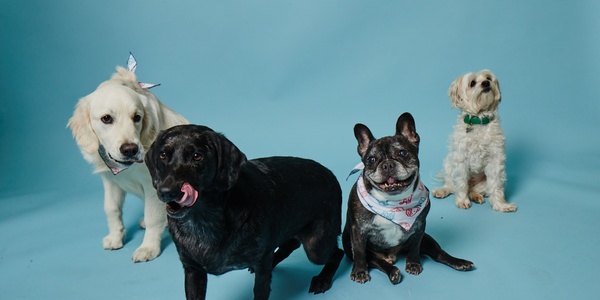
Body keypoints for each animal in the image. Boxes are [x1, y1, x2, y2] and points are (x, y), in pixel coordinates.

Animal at [66, 65, 189, 260]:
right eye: (106, 118)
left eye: (137, 117)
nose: (130, 149)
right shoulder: (110, 181)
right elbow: (111, 209)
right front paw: (115, 237)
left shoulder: (154, 186)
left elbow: (153, 217)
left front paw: (148, 247)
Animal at [432, 69, 516, 212]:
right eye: (472, 83)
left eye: (488, 78)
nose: (486, 83)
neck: (478, 120)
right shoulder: (460, 159)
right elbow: (460, 183)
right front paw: (462, 201)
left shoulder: (495, 161)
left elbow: (496, 186)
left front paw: (501, 205)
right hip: (449, 163)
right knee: (451, 185)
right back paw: (442, 190)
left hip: (485, 183)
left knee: (474, 189)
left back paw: (475, 196)